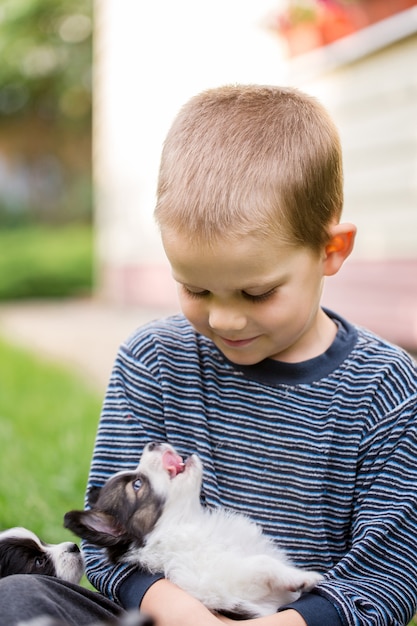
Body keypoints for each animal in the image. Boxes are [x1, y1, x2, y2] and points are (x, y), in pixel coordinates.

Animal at [64, 442, 322, 616]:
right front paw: (302, 577)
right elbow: (261, 563)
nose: (152, 443)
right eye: (137, 485)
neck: (186, 522)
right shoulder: (223, 585)